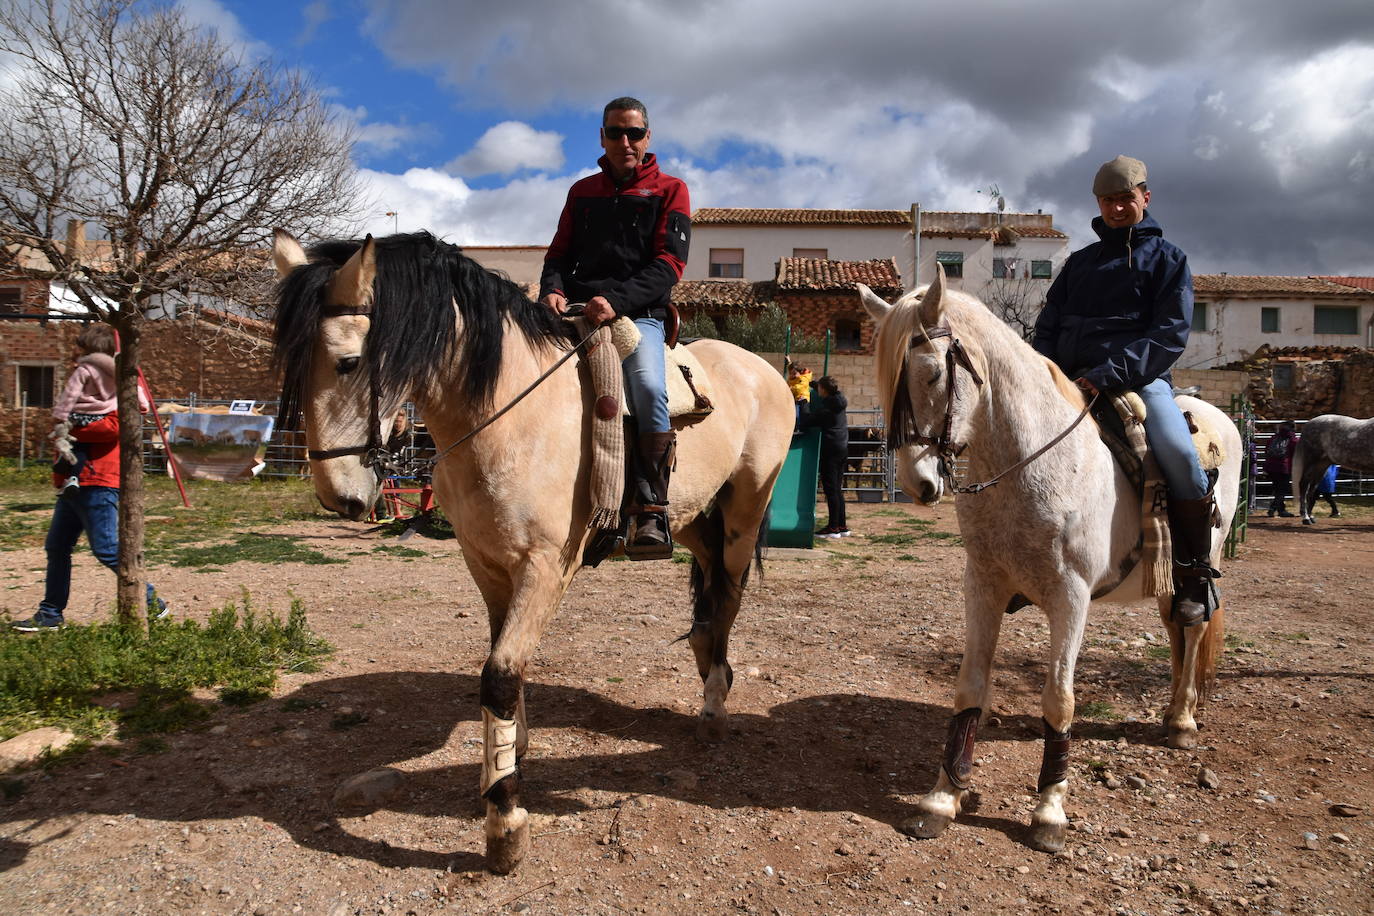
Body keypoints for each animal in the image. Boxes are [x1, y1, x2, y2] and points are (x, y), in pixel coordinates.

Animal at [272, 230, 796, 873]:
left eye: (348, 362)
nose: (338, 496)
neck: (510, 416)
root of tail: (761, 369)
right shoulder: (486, 564)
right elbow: (506, 663)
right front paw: (509, 756)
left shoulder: (545, 569)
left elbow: (499, 674)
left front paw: (505, 820)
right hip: (695, 517)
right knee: (706, 600)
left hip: (744, 514)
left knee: (727, 596)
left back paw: (715, 706)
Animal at [857, 269, 1247, 856]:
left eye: (931, 373)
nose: (919, 485)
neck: (1028, 462)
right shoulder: (983, 585)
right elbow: (970, 687)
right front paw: (942, 798)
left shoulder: (1070, 597)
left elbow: (1059, 699)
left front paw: (1049, 811)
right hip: (1165, 583)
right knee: (1179, 632)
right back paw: (1174, 713)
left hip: (1200, 564)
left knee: (1195, 627)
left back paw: (1182, 720)